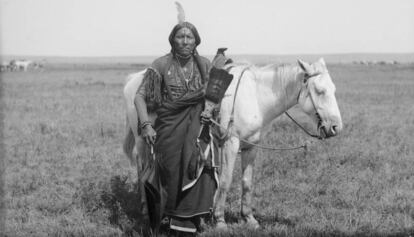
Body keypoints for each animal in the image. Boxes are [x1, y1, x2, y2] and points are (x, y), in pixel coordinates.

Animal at [123, 57, 342, 228]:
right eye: (320, 91)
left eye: (333, 89)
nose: (336, 127)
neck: (256, 96)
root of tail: (134, 79)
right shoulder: (231, 143)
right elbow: (226, 181)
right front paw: (219, 220)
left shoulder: (251, 145)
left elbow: (247, 182)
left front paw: (249, 218)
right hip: (143, 139)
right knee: (143, 170)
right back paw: (146, 208)